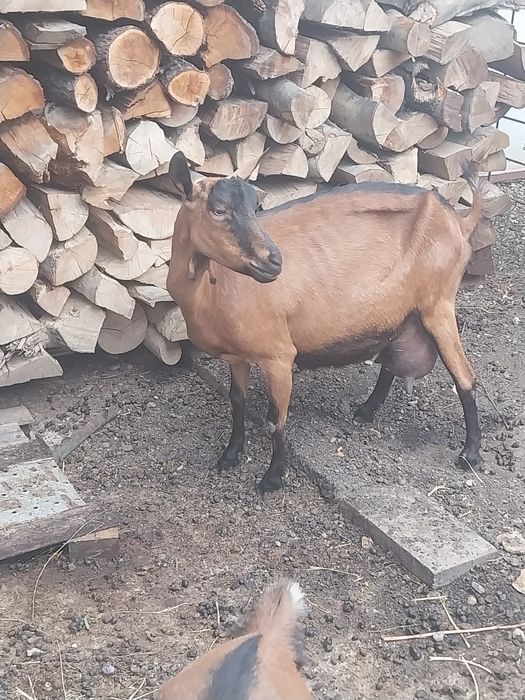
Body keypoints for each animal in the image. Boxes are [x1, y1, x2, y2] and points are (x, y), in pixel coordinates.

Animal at [166, 151, 482, 493]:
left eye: (256, 206)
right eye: (218, 210)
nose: (273, 261)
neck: (212, 290)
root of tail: (458, 220)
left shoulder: (278, 355)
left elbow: (275, 420)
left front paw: (272, 478)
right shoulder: (237, 357)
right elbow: (237, 401)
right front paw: (229, 456)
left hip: (438, 304)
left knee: (465, 376)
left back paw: (470, 454)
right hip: (401, 312)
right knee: (392, 358)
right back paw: (366, 410)